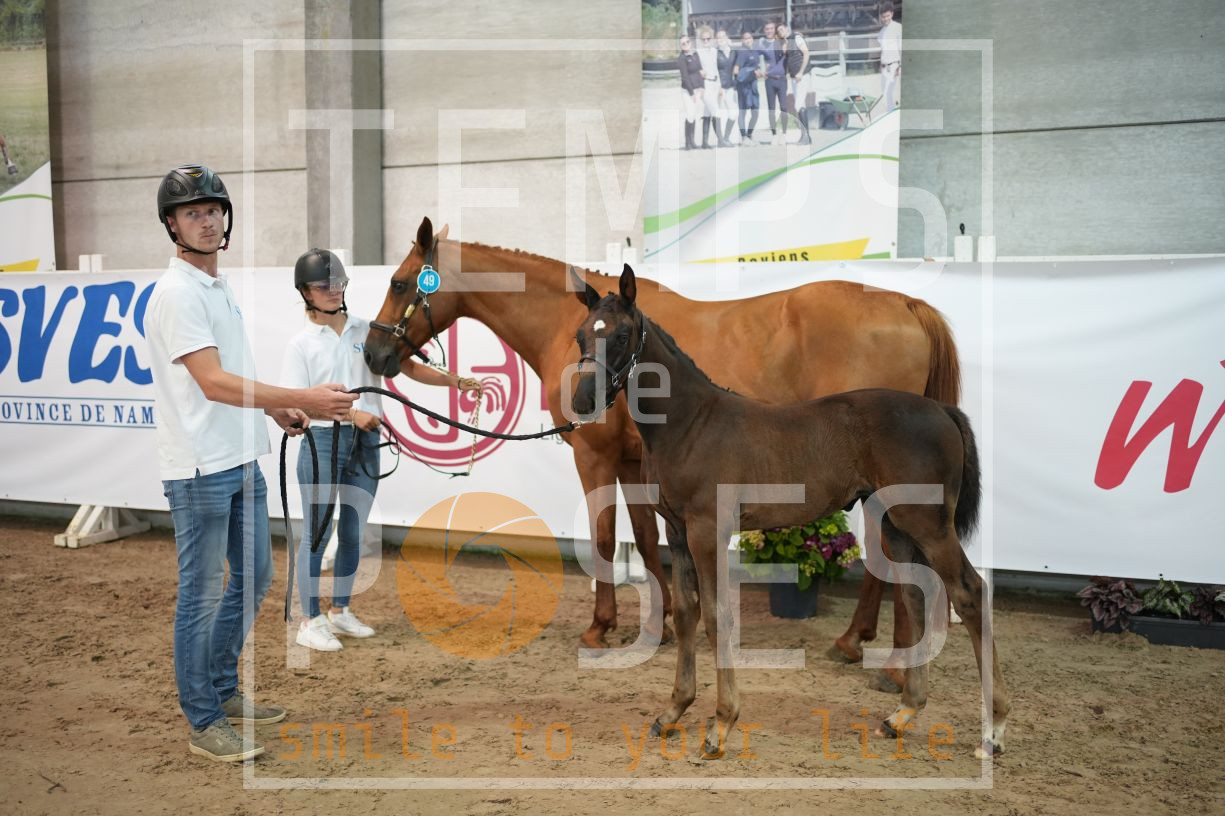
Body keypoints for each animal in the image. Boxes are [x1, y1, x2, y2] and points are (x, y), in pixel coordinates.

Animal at [364, 217, 962, 674]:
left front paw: (600, 628)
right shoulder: (636, 463)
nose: (372, 353)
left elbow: (606, 538)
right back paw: (862, 642)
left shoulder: (594, 457)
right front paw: (664, 622)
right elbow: (649, 541)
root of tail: (906, 303)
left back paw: (880, 653)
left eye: (400, 283)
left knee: (891, 554)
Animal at [571, 264, 1009, 759]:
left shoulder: (707, 530)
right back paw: (902, 713)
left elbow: (717, 617)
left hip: (929, 524)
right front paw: (673, 711)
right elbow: (686, 614)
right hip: (896, 524)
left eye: (623, 334)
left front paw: (721, 725)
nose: (584, 401)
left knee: (971, 594)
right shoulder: (679, 531)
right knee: (917, 596)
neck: (690, 423)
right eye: (580, 335)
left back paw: (993, 731)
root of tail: (943, 411)